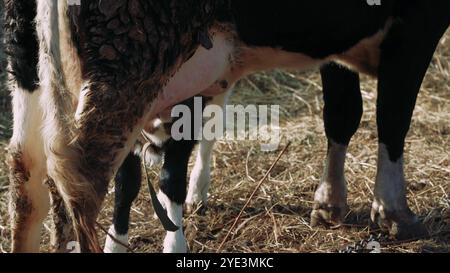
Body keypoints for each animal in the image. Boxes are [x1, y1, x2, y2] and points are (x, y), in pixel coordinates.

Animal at [4, 0, 450, 252]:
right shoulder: (418, 23)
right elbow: (393, 116)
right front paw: (393, 210)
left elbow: (343, 113)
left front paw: (329, 202)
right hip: (125, 69)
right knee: (81, 188)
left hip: (31, 68)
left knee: (27, 180)